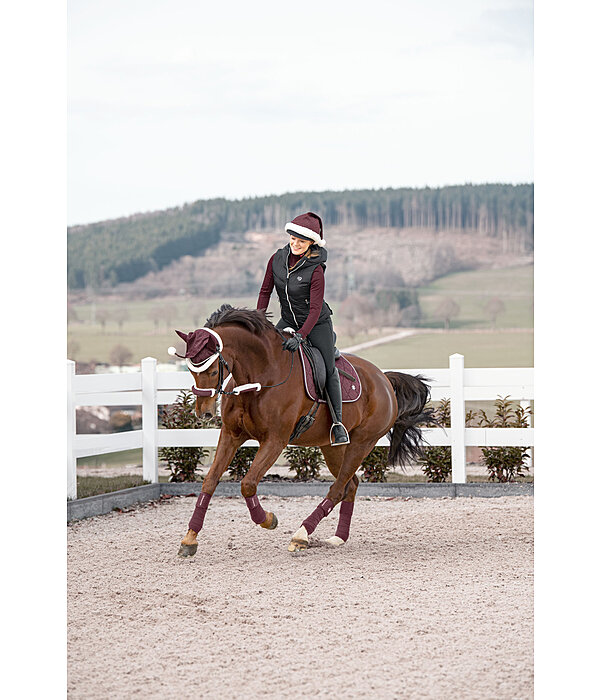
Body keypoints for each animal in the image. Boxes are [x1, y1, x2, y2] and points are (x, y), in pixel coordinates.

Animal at [176, 304, 434, 556]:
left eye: (212, 371)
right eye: (192, 371)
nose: (204, 413)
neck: (261, 375)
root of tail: (384, 379)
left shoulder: (275, 441)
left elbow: (248, 484)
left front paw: (268, 519)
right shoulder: (231, 436)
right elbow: (210, 481)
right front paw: (189, 539)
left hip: (362, 443)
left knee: (337, 489)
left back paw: (301, 535)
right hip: (332, 447)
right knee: (350, 485)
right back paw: (338, 538)